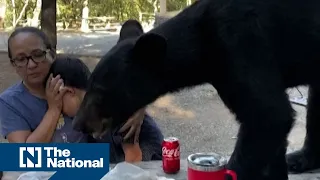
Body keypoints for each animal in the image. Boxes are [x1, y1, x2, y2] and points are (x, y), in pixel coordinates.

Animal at [74, 0, 320, 179]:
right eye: (89, 84)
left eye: (100, 91)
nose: (78, 123)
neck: (203, 45)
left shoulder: (242, 45)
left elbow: (268, 113)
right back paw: (300, 159)